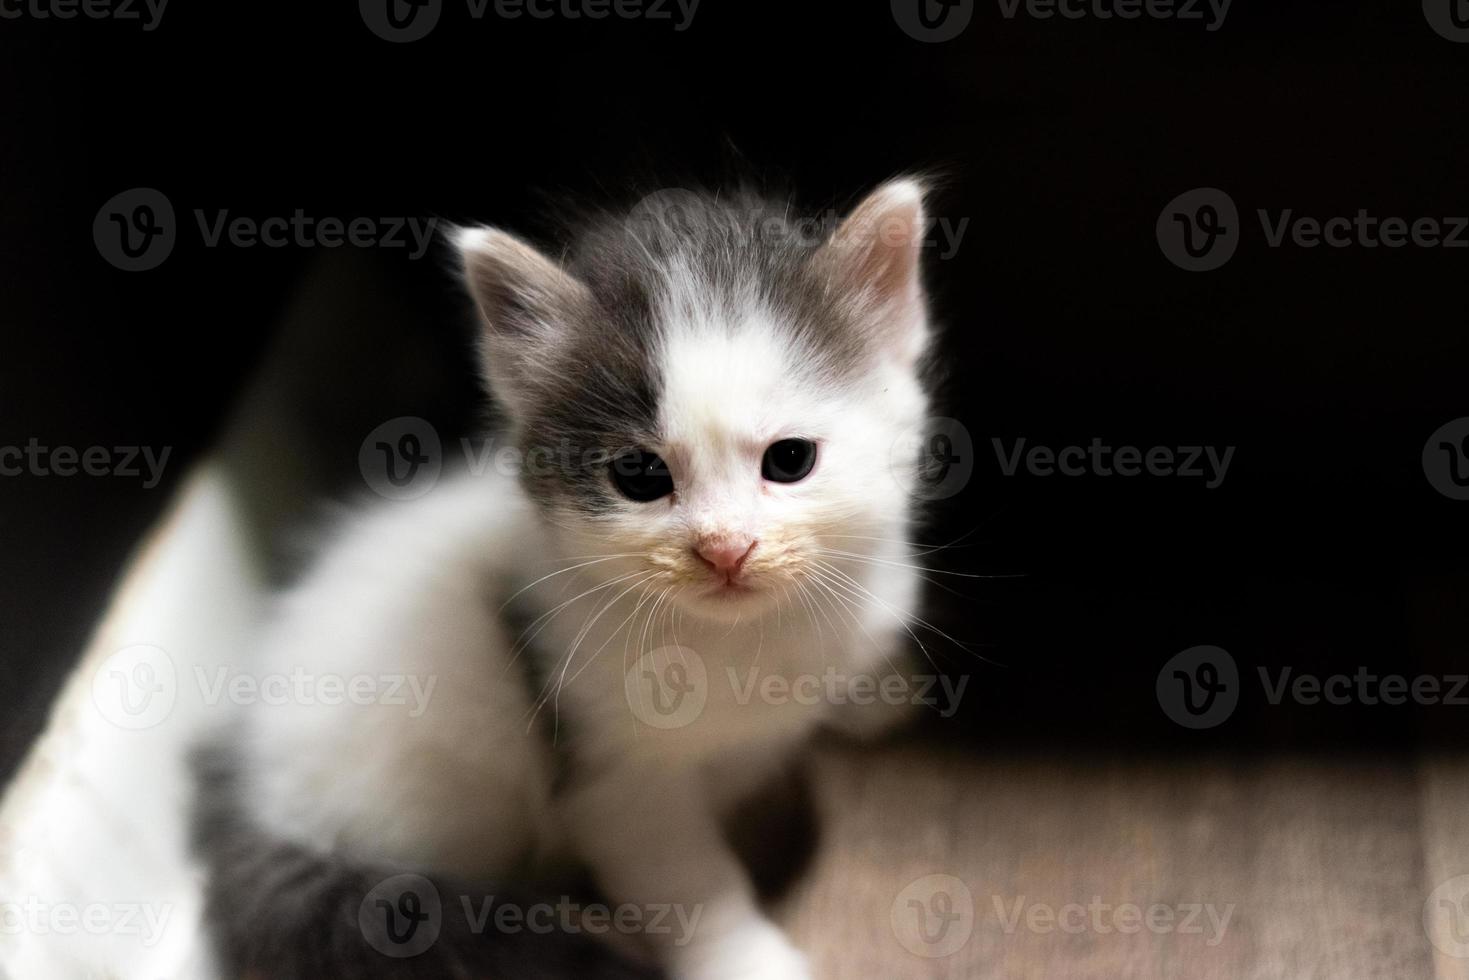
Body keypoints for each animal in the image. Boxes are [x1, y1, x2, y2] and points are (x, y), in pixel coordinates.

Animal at [189, 178, 934, 980]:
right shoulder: (607, 773)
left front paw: (878, 695)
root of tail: (247, 785)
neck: (747, 639)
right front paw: (744, 961)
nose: (725, 549)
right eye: (639, 476)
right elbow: (687, 881)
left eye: (790, 460)